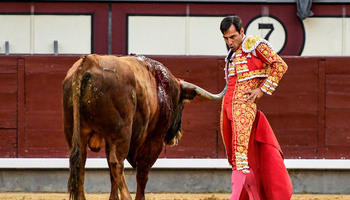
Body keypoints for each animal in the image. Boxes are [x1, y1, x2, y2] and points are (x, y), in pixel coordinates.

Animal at [62, 54, 227, 200]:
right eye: (182, 104)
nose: (177, 134)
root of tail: (86, 65)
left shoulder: (110, 140)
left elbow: (111, 172)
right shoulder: (155, 140)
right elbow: (143, 172)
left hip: (75, 131)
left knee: (81, 161)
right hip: (122, 133)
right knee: (116, 162)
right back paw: (127, 197)